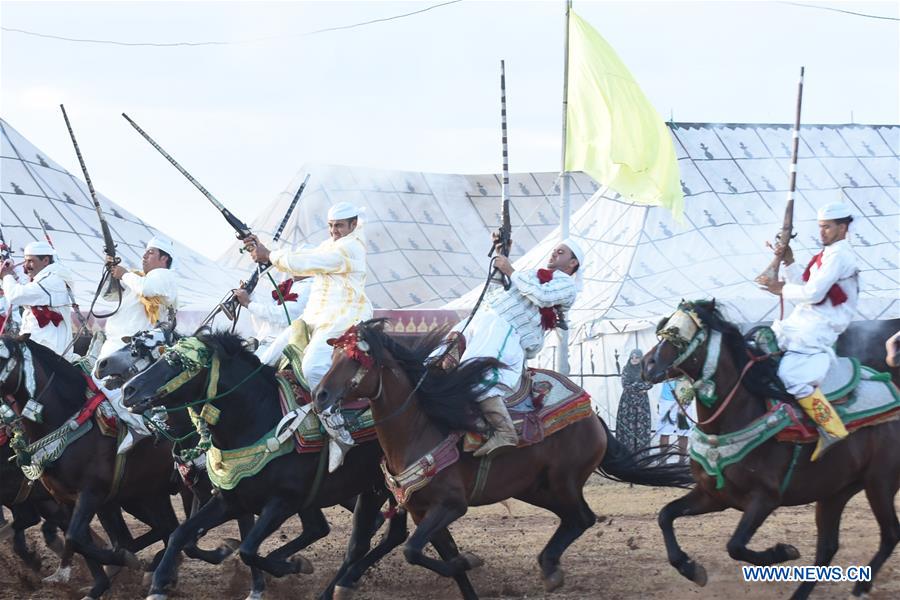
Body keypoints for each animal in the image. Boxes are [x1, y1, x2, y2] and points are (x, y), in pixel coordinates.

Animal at [0, 336, 181, 596]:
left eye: (3, 358)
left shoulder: (89, 493)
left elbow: (73, 537)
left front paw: (120, 562)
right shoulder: (65, 498)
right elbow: (77, 539)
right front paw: (98, 583)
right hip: (144, 494)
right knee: (166, 528)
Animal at [119, 330, 412, 600]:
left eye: (179, 362)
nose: (128, 389)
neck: (258, 419)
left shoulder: (282, 502)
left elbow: (248, 549)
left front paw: (289, 567)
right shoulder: (230, 500)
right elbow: (181, 535)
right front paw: (159, 584)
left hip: (376, 488)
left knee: (358, 542)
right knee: (383, 535)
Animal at [312, 318, 692, 596]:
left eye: (355, 360)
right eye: (333, 357)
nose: (320, 395)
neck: (420, 431)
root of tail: (592, 414)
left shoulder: (451, 506)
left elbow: (414, 552)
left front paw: (469, 561)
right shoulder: (422, 511)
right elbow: (433, 554)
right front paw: (465, 568)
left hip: (564, 481)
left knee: (583, 517)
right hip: (534, 488)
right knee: (574, 519)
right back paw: (550, 566)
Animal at [644, 300, 896, 600]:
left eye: (680, 333)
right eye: (664, 326)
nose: (645, 364)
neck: (731, 420)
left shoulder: (765, 498)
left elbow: (735, 546)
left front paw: (783, 551)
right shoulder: (713, 496)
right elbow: (665, 515)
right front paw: (690, 568)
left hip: (880, 483)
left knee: (890, 533)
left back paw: (861, 586)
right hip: (836, 491)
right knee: (828, 547)